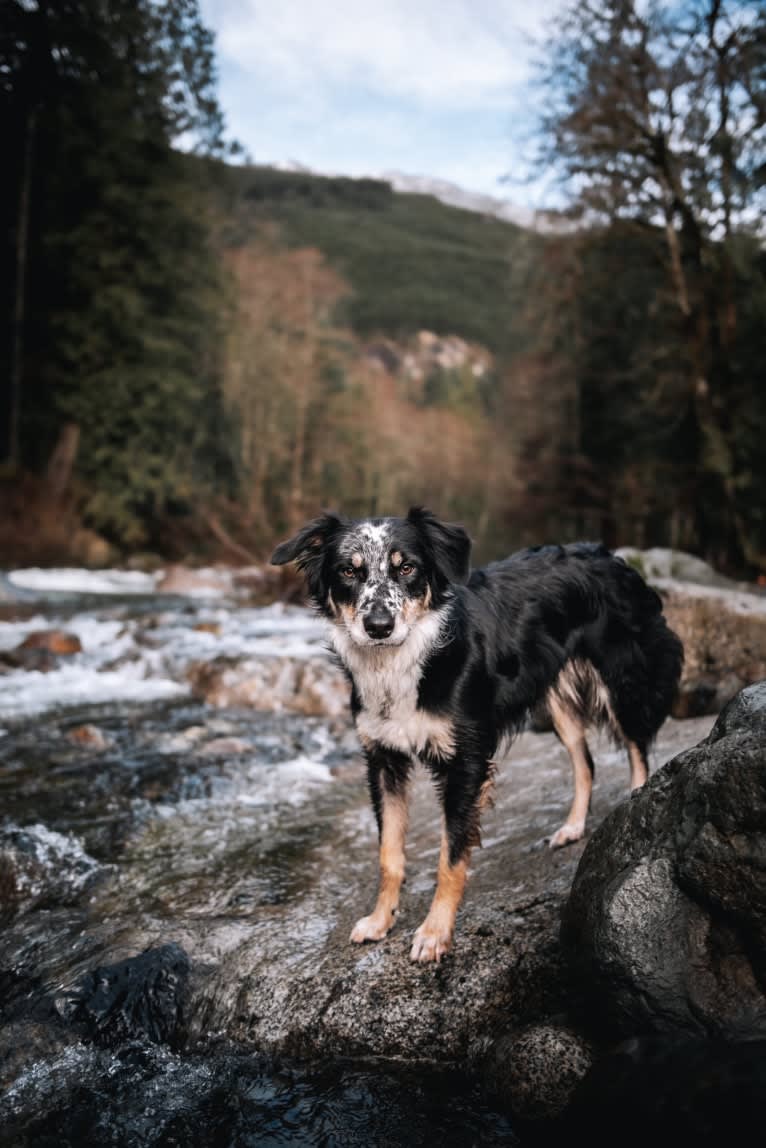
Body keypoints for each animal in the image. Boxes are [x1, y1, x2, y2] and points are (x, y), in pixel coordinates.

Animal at [269, 507, 684, 964]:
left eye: (407, 568)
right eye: (348, 571)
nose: (379, 626)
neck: (403, 661)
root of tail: (608, 555)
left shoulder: (465, 760)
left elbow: (450, 857)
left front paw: (435, 932)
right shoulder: (383, 759)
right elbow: (388, 854)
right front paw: (381, 920)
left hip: (622, 678)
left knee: (637, 748)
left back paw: (632, 806)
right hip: (554, 696)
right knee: (585, 760)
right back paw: (573, 828)